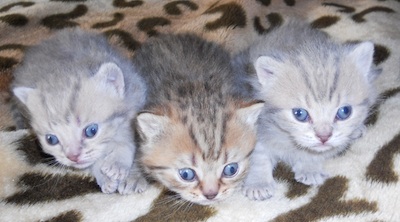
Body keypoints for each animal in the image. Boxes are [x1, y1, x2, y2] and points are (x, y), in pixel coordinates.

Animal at [11, 28, 148, 194]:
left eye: (91, 131)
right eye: (51, 139)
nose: (73, 157)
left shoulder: (136, 96)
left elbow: (129, 138)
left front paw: (120, 163)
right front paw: (103, 176)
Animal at [236, 21, 380, 200]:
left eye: (344, 112)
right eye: (300, 114)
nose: (324, 137)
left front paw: (309, 168)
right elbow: (258, 155)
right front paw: (258, 183)